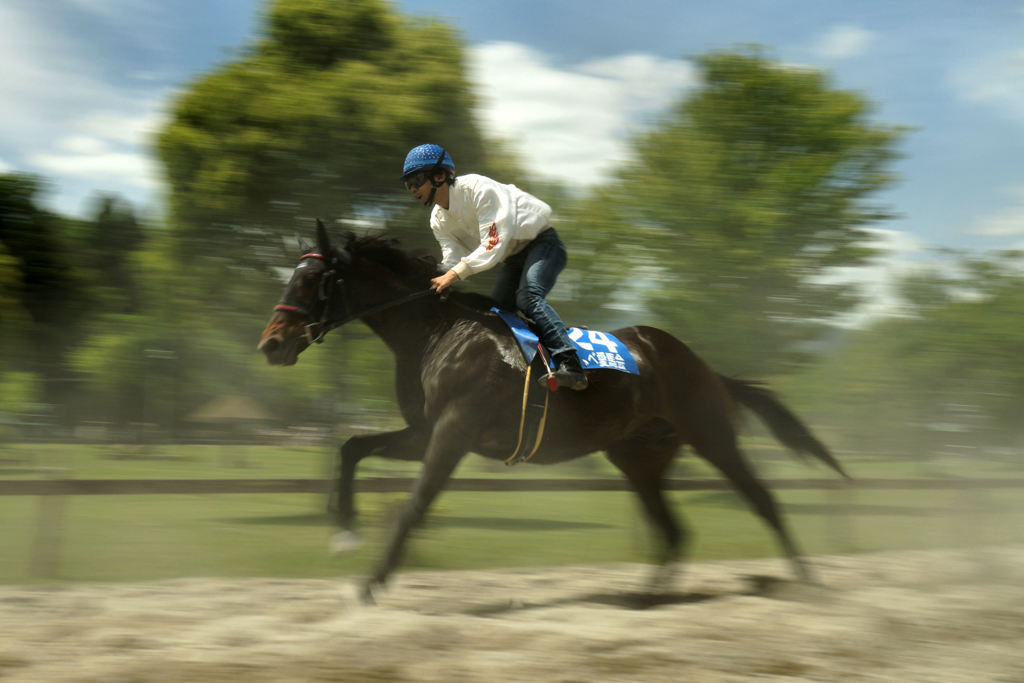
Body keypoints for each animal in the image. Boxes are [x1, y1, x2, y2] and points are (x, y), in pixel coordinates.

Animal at [258, 222, 847, 602]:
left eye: (309, 281)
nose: (271, 344)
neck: (437, 332)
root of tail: (702, 364)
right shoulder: (424, 432)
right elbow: (351, 448)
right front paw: (344, 532)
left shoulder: (452, 433)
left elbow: (413, 505)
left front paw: (372, 581)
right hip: (638, 457)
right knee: (673, 528)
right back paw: (647, 598)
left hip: (711, 435)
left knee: (762, 500)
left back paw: (807, 582)